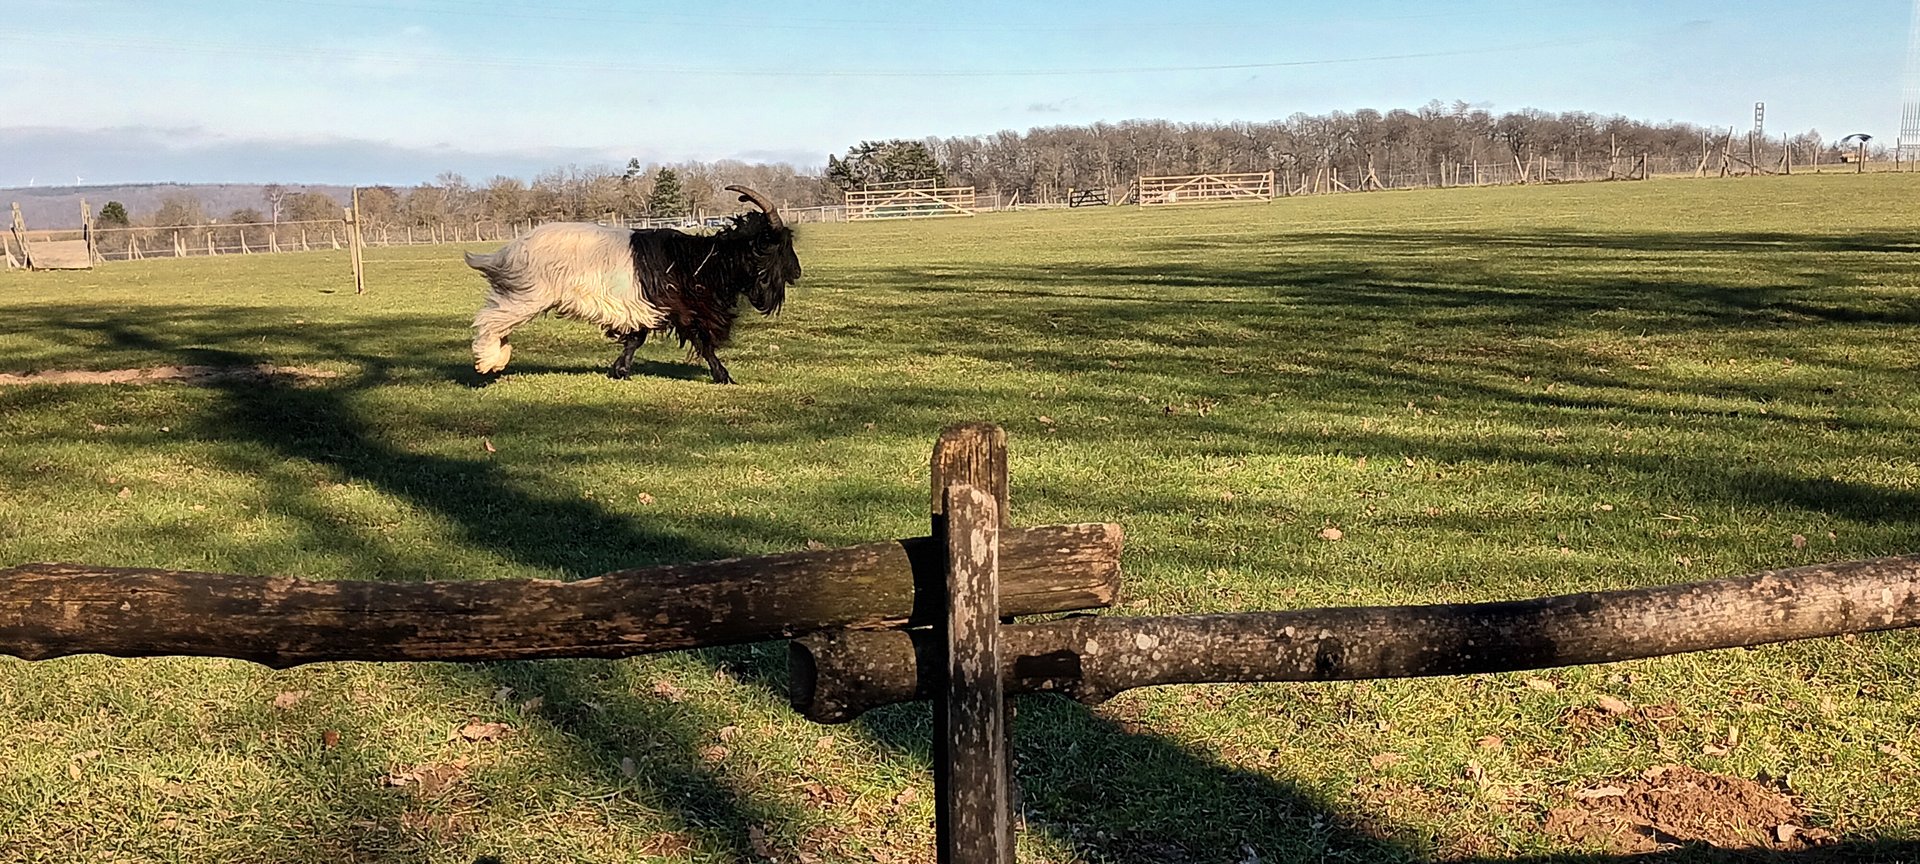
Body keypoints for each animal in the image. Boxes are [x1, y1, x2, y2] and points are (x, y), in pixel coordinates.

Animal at [464, 185, 799, 384]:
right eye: (779, 246)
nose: (797, 272)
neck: (703, 262)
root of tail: (509, 251)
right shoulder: (681, 309)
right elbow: (702, 341)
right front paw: (723, 375)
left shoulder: (645, 307)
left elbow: (636, 338)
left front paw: (619, 370)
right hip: (528, 294)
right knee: (490, 321)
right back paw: (488, 362)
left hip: (520, 293)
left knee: (497, 321)